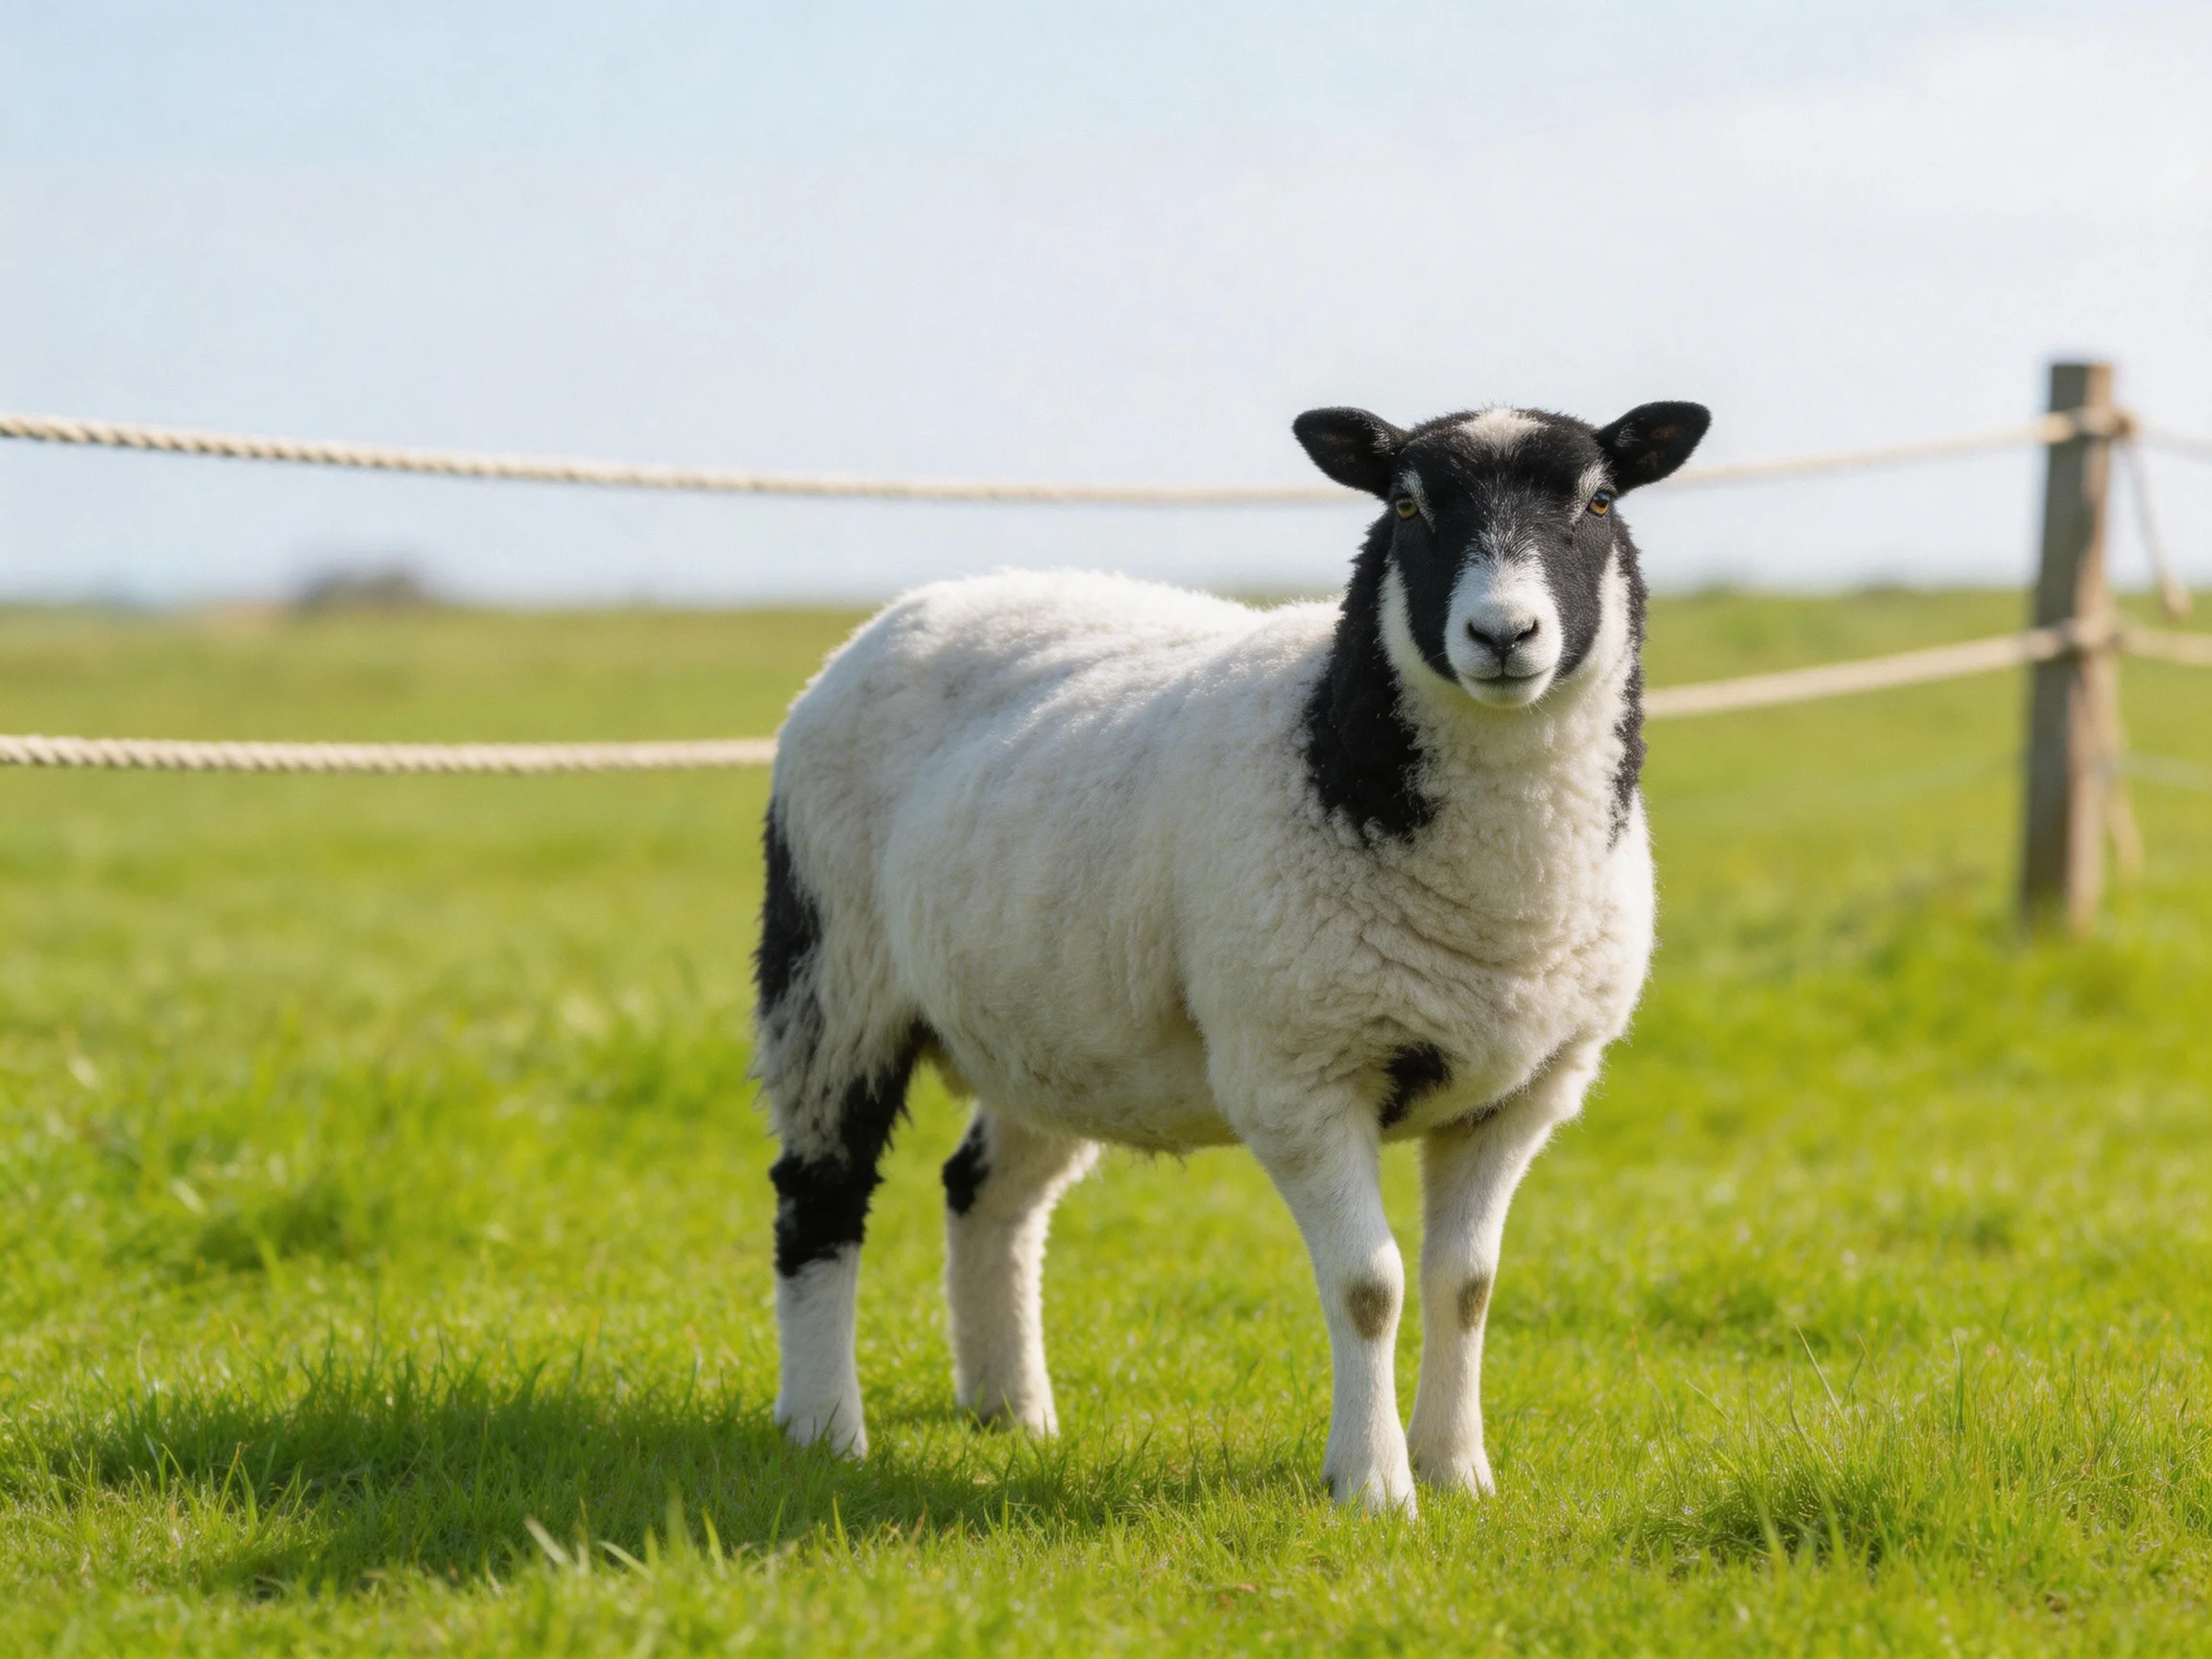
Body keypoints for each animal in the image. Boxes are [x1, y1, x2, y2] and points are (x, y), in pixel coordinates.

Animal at [753, 398, 1709, 1511]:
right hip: (832, 967)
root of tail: (924, 603)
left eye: (1597, 501)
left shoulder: (1521, 1092)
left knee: (985, 1193)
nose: (1503, 635)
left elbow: (1463, 1286)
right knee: (819, 1194)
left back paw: (1011, 1409)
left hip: (1049, 1025)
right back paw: (824, 1426)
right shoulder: (1299, 1071)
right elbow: (1371, 1286)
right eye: (1406, 504)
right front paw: (1374, 1486)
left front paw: (1459, 1471)